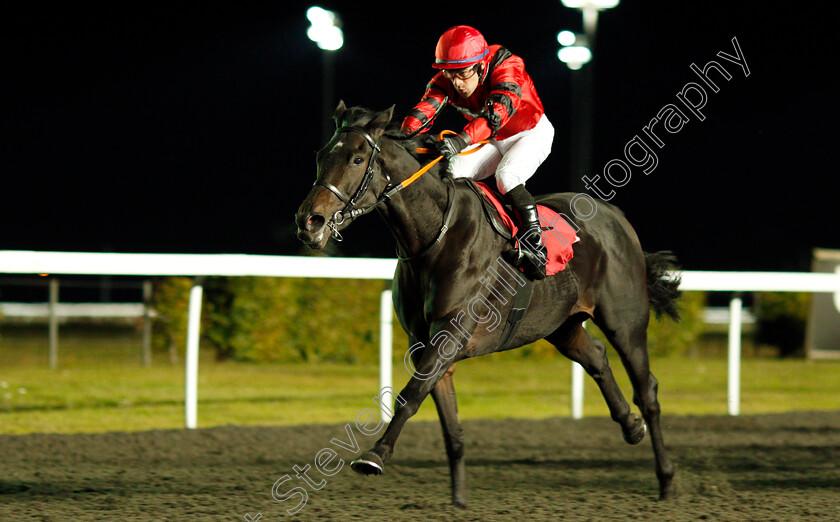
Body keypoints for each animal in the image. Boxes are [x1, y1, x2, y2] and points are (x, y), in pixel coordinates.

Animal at [296, 101, 684, 504]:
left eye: (357, 159)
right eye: (321, 155)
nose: (310, 221)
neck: (435, 237)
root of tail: (617, 218)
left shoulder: (450, 334)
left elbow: (410, 395)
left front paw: (375, 455)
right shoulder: (425, 343)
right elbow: (449, 425)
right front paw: (458, 500)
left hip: (626, 322)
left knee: (647, 390)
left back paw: (666, 478)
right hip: (560, 325)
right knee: (595, 357)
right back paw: (630, 426)